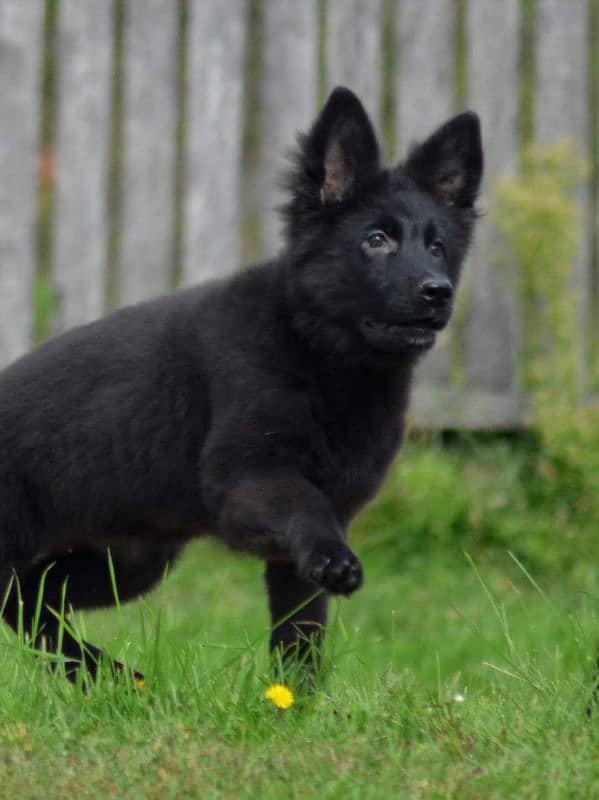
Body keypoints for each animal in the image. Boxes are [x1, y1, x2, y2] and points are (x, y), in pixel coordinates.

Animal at [0, 87, 482, 680]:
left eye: (438, 247)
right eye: (376, 239)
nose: (438, 292)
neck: (317, 352)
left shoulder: (296, 548)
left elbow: (301, 634)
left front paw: (294, 697)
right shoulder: (249, 480)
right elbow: (304, 509)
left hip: (130, 559)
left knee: (28, 599)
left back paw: (106, 675)